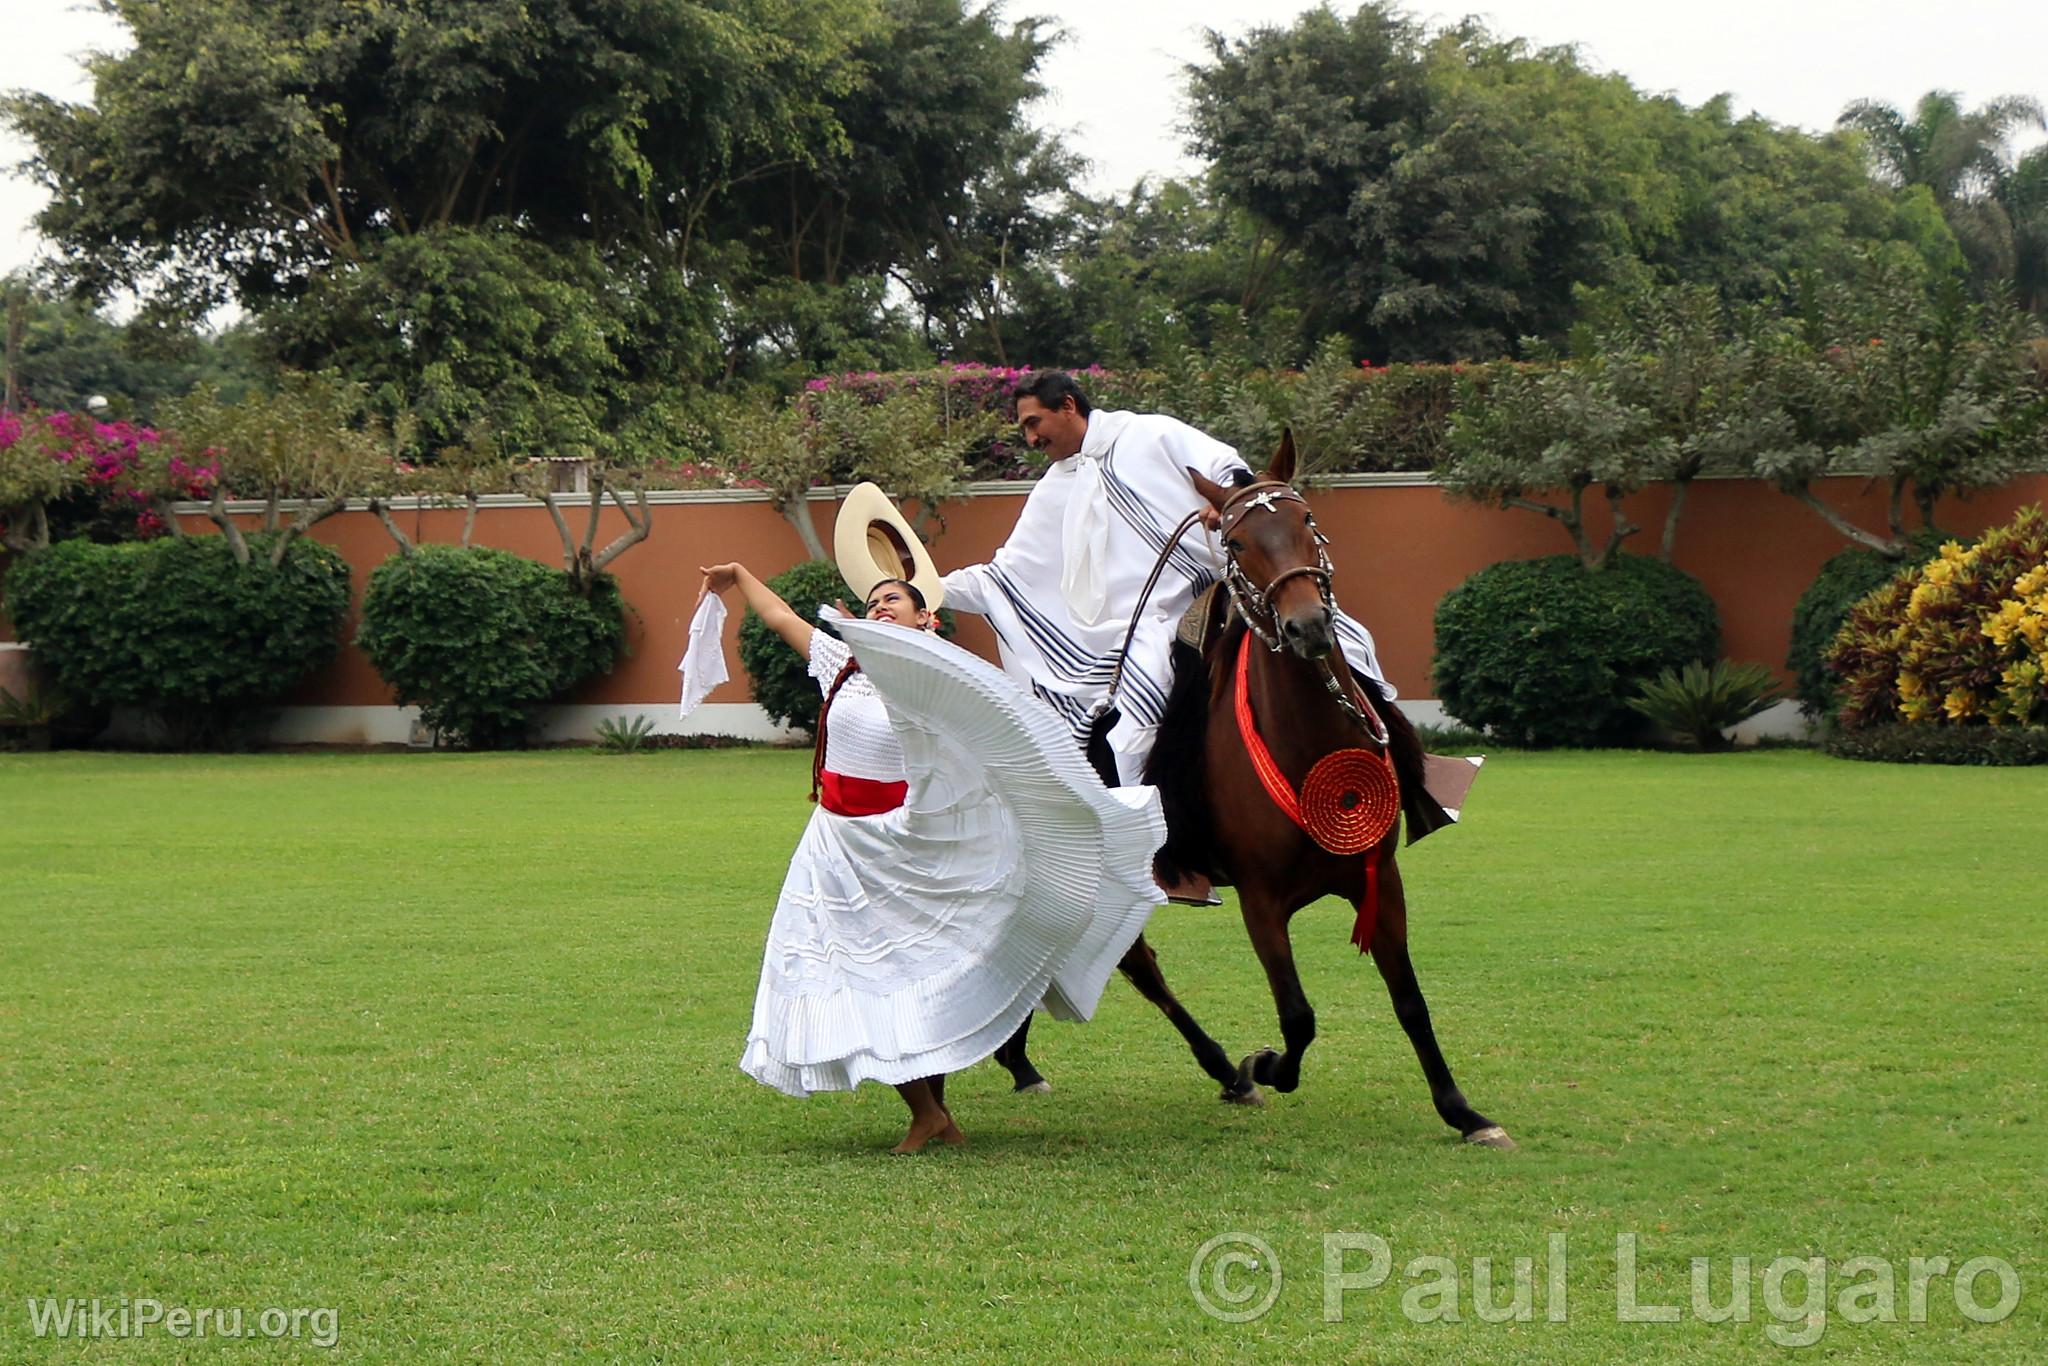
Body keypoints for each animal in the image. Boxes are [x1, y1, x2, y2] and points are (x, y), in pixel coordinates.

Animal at [991, 432, 1507, 1146]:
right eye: (1236, 543)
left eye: (1307, 520)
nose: (1308, 626)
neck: (1305, 745)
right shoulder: (1261, 901)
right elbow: (1297, 1016)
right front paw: (1263, 1065)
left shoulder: (1380, 881)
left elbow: (1409, 1000)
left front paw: (1463, 1111)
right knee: (1132, 965)